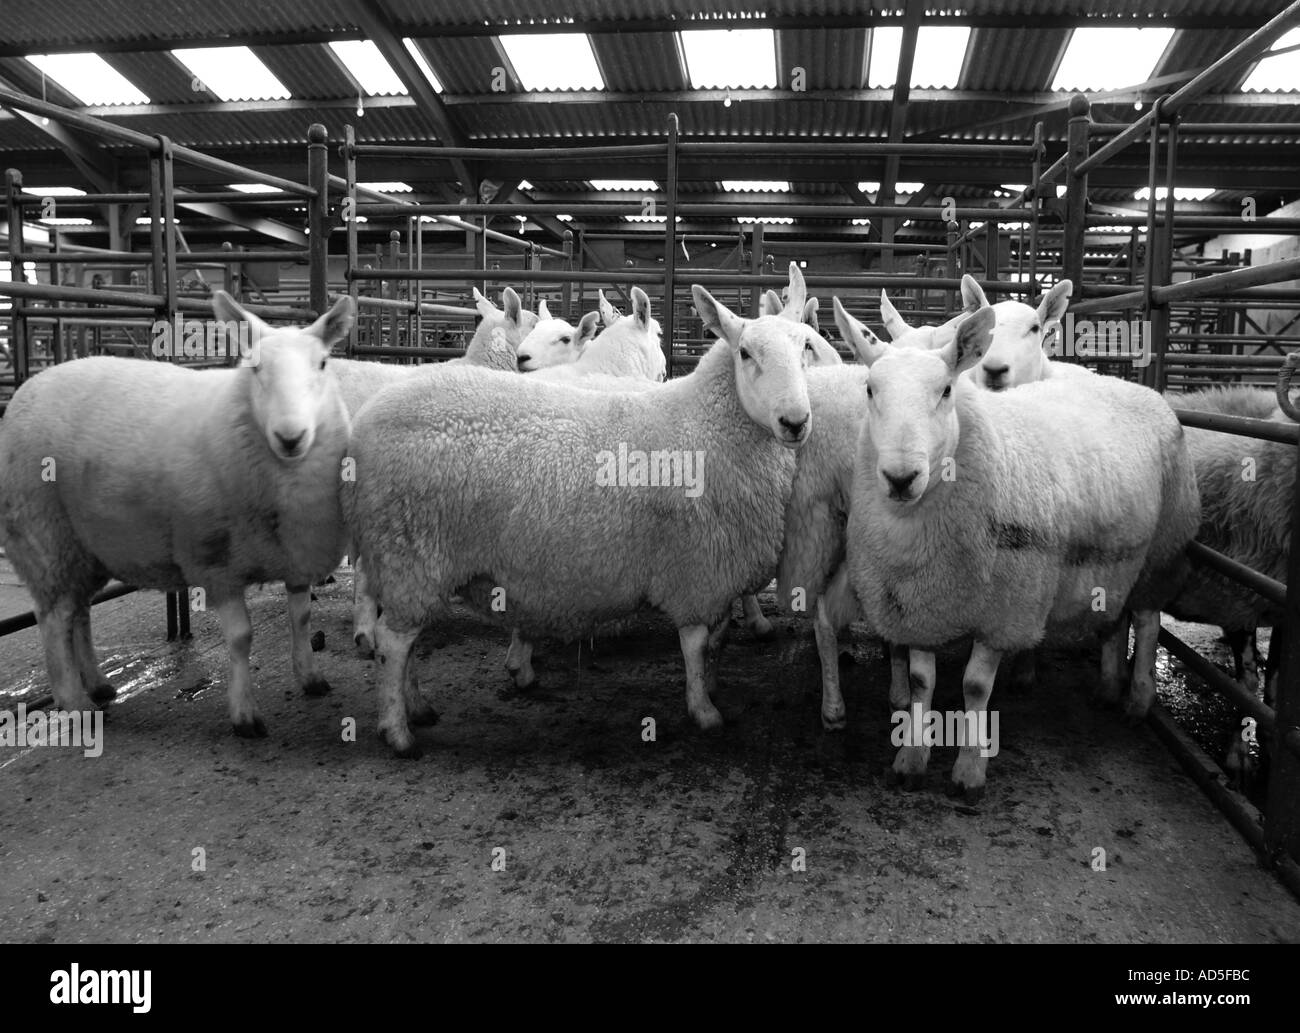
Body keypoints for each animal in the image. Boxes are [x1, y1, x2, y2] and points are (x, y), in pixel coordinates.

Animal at [0, 292, 356, 732]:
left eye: (322, 364)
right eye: (254, 366)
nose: (290, 437)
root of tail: (30, 385)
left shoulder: (295, 551)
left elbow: (301, 619)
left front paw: (310, 677)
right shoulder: (215, 561)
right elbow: (241, 638)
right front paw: (244, 714)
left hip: (87, 547)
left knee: (77, 612)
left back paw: (99, 685)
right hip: (46, 538)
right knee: (53, 621)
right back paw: (75, 703)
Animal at [340, 283, 816, 758]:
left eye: (805, 347)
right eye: (745, 353)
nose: (795, 421)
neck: (702, 424)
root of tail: (365, 423)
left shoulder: (717, 571)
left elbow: (717, 644)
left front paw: (713, 689)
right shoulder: (696, 570)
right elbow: (697, 648)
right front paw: (704, 711)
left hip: (412, 562)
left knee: (407, 641)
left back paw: (418, 706)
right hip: (410, 552)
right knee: (394, 643)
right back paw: (398, 730)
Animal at [837, 302, 1190, 805]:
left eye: (946, 390)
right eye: (869, 389)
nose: (901, 478)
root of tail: (1132, 386)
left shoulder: (1004, 606)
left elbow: (974, 687)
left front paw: (969, 771)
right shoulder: (921, 606)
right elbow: (923, 683)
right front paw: (911, 759)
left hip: (1161, 550)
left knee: (1147, 621)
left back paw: (1138, 699)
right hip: (1116, 560)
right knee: (1114, 619)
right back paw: (1107, 686)